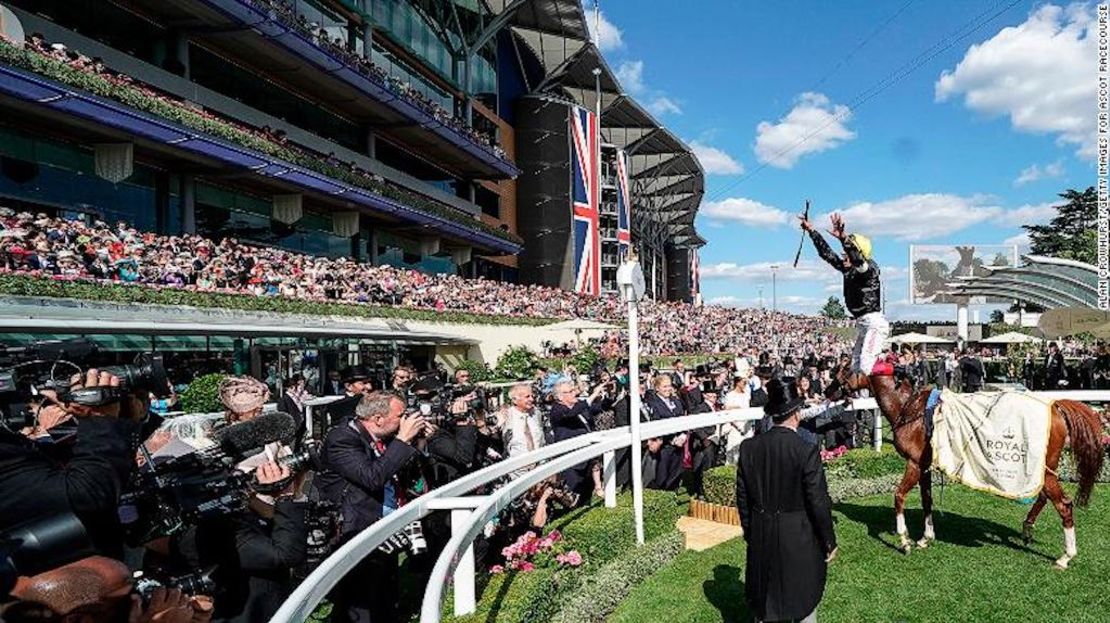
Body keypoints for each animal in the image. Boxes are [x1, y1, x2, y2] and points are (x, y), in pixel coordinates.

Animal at [825, 368, 1101, 568]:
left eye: (844, 366)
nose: (827, 390)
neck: (910, 410)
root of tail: (1055, 406)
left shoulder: (913, 464)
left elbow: (899, 496)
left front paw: (904, 541)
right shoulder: (924, 466)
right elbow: (927, 500)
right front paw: (925, 538)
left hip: (1039, 469)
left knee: (1063, 504)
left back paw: (1065, 556)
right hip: (1042, 470)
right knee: (1044, 496)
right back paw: (1027, 529)